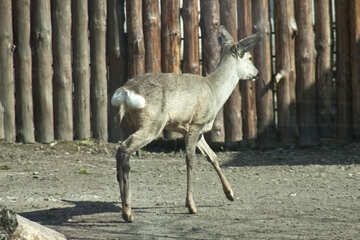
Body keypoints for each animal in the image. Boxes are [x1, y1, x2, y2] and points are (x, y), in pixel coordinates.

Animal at [110, 25, 258, 222]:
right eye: (249, 58)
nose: (256, 73)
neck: (214, 92)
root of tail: (124, 93)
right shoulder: (196, 123)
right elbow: (190, 160)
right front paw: (191, 205)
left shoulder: (194, 128)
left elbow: (213, 157)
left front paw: (230, 194)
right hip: (153, 123)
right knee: (124, 149)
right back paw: (127, 212)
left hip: (124, 124)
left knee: (120, 151)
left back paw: (124, 207)